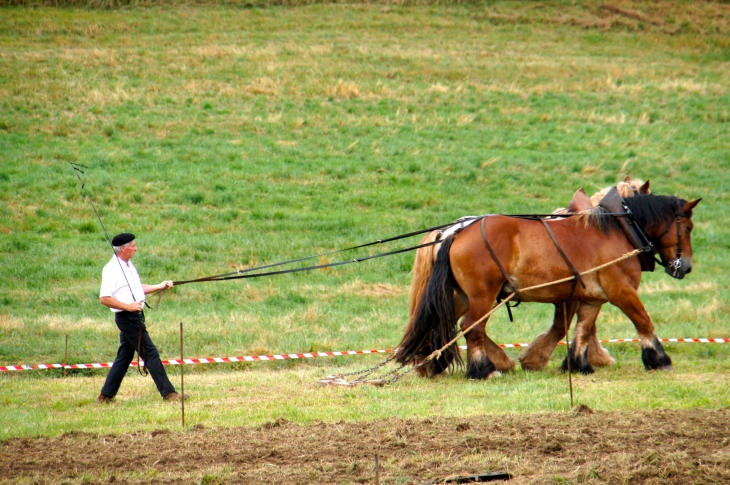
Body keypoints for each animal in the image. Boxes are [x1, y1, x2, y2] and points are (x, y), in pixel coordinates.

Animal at [398, 193, 700, 378]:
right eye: (687, 228)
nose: (686, 267)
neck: (620, 231)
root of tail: (459, 231)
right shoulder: (622, 292)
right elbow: (644, 321)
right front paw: (658, 359)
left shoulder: (593, 298)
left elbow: (582, 330)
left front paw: (578, 364)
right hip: (482, 295)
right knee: (471, 327)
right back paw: (483, 369)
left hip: (460, 295)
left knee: (446, 324)